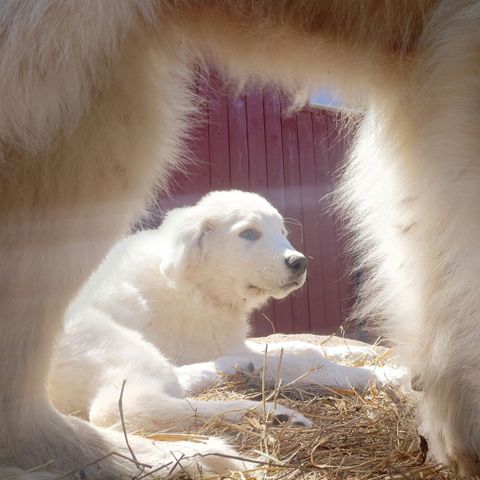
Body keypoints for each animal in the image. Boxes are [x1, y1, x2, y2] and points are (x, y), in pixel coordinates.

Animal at [51, 188, 376, 436]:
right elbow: (307, 362)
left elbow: (304, 348)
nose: (300, 263)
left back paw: (235, 368)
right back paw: (272, 413)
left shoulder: (230, 342)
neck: (196, 284)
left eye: (282, 232)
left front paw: (363, 354)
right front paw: (377, 374)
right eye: (248, 233)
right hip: (113, 344)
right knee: (123, 408)